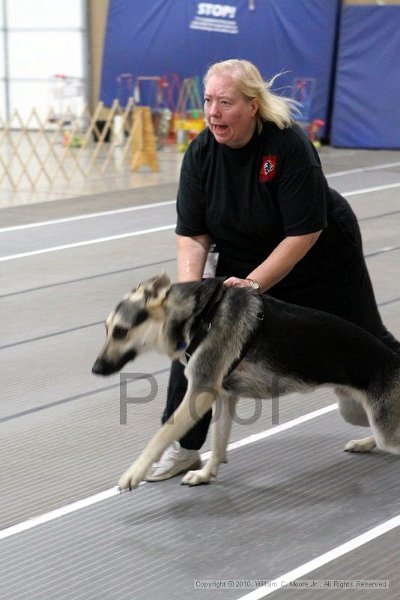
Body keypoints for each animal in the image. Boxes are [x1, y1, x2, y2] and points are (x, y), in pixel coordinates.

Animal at [92, 274, 400, 490]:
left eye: (121, 331)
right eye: (106, 330)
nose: (95, 369)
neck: (199, 316)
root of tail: (393, 359)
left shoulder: (199, 394)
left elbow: (160, 437)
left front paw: (134, 473)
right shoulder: (224, 398)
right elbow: (218, 444)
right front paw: (206, 474)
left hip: (378, 423)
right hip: (353, 411)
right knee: (376, 435)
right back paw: (363, 444)